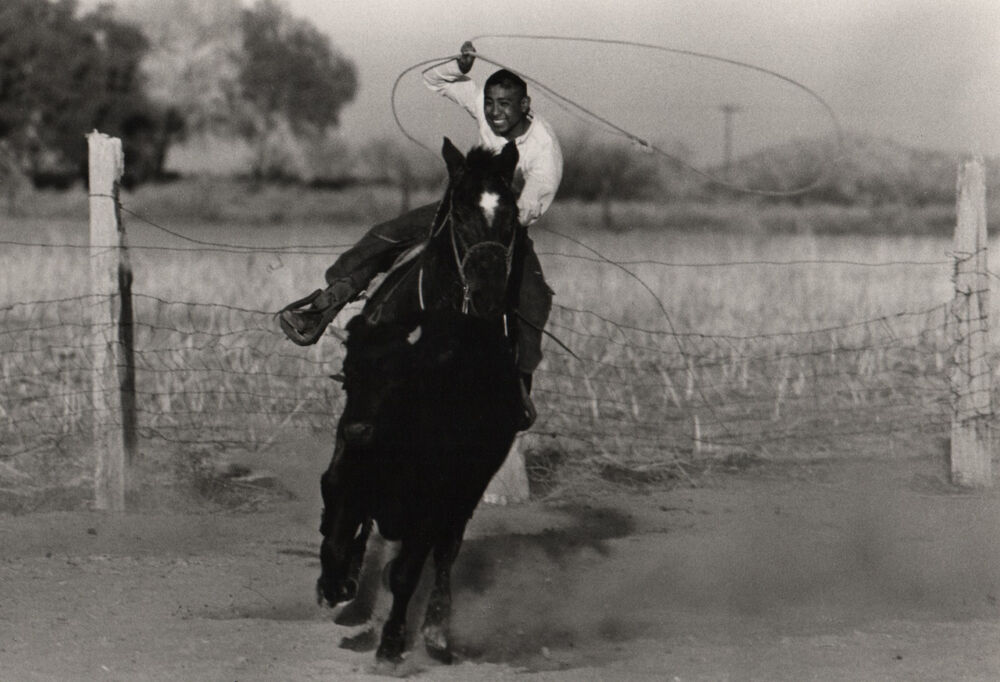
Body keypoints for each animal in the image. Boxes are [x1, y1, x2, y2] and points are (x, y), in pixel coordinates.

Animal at [318, 135, 524, 660]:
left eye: (510, 214)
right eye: (461, 211)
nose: (488, 291)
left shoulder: (442, 488)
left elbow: (412, 565)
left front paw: (394, 640)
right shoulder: (350, 445)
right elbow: (339, 497)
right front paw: (335, 581)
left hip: (465, 490)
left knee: (445, 551)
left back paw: (434, 631)